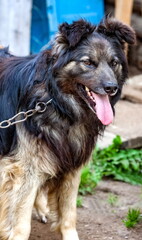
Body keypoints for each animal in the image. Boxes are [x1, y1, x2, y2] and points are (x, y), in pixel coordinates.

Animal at [0, 17, 135, 240]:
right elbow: (21, 222)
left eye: (114, 63)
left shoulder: (71, 165)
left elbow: (69, 214)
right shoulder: (25, 168)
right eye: (88, 62)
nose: (111, 88)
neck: (58, 103)